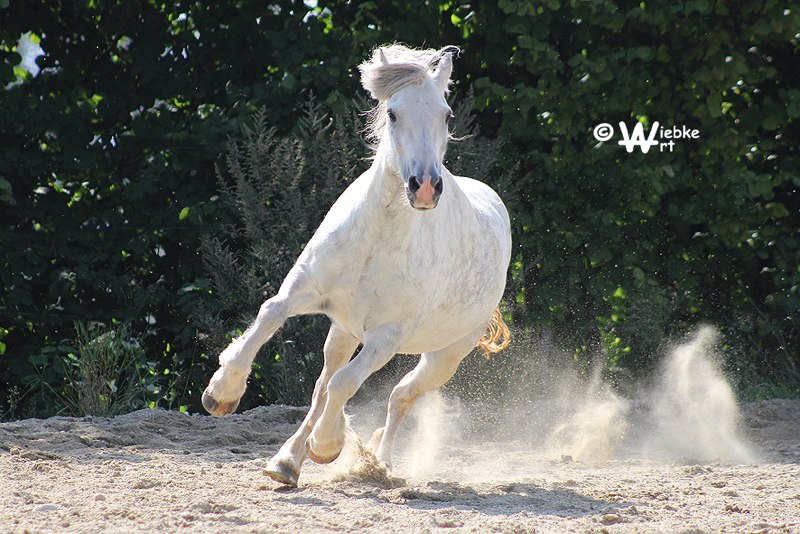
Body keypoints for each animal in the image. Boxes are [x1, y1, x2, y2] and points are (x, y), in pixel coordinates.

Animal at [203, 45, 510, 490]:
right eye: (394, 113)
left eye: (447, 115)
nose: (426, 188)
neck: (377, 237)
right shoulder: (304, 289)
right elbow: (270, 316)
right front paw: (222, 392)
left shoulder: (386, 336)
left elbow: (346, 383)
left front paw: (327, 445)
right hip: (343, 331)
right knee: (322, 386)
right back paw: (286, 463)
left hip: (445, 356)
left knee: (398, 396)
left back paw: (378, 463)